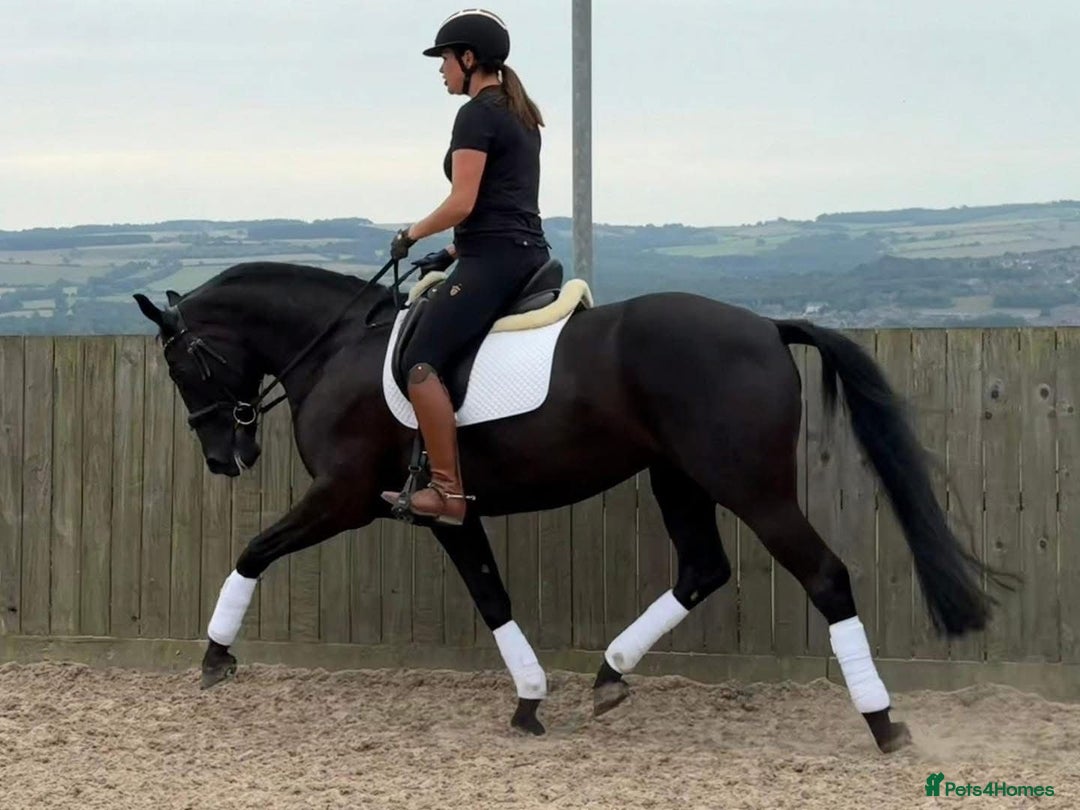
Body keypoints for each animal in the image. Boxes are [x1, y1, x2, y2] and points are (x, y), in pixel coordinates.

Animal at [133, 258, 998, 754]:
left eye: (181, 365)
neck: (340, 348)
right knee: (702, 569)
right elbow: (492, 596)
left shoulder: (344, 495)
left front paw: (215, 657)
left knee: (825, 576)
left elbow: (252, 549)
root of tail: (763, 326)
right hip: (677, 477)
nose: (225, 457)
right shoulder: (450, 512)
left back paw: (885, 725)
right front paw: (529, 702)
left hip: (751, 486)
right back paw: (610, 675)